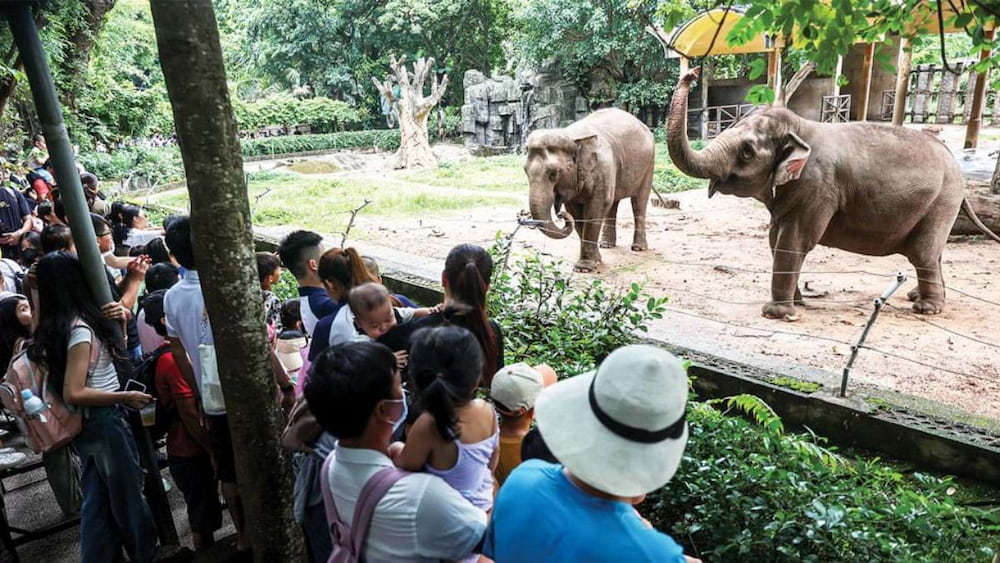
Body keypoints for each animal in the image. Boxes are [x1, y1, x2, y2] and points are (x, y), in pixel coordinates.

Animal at [524, 108, 656, 274]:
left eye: (553, 173)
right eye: (525, 171)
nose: (560, 214)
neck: (572, 136)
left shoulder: (603, 167)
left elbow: (595, 209)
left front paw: (584, 268)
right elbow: (575, 213)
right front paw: (597, 260)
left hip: (649, 165)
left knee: (639, 202)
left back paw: (638, 248)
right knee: (613, 203)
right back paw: (606, 245)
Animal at [664, 67, 1000, 322]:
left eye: (747, 151)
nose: (693, 73)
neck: (801, 127)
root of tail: (954, 162)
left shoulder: (818, 186)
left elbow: (794, 241)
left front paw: (778, 314)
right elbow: (776, 240)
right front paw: (797, 303)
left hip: (942, 199)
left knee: (924, 252)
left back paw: (926, 308)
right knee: (935, 253)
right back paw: (918, 296)